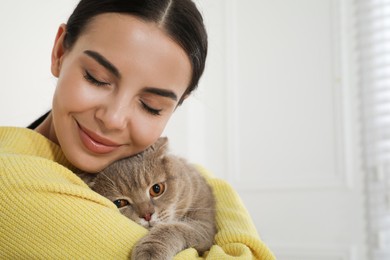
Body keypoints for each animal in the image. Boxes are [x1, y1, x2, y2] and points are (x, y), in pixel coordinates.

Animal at [77, 137, 215, 258]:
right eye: (120, 203)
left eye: (156, 189)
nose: (147, 215)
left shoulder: (205, 226)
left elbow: (176, 228)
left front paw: (150, 250)